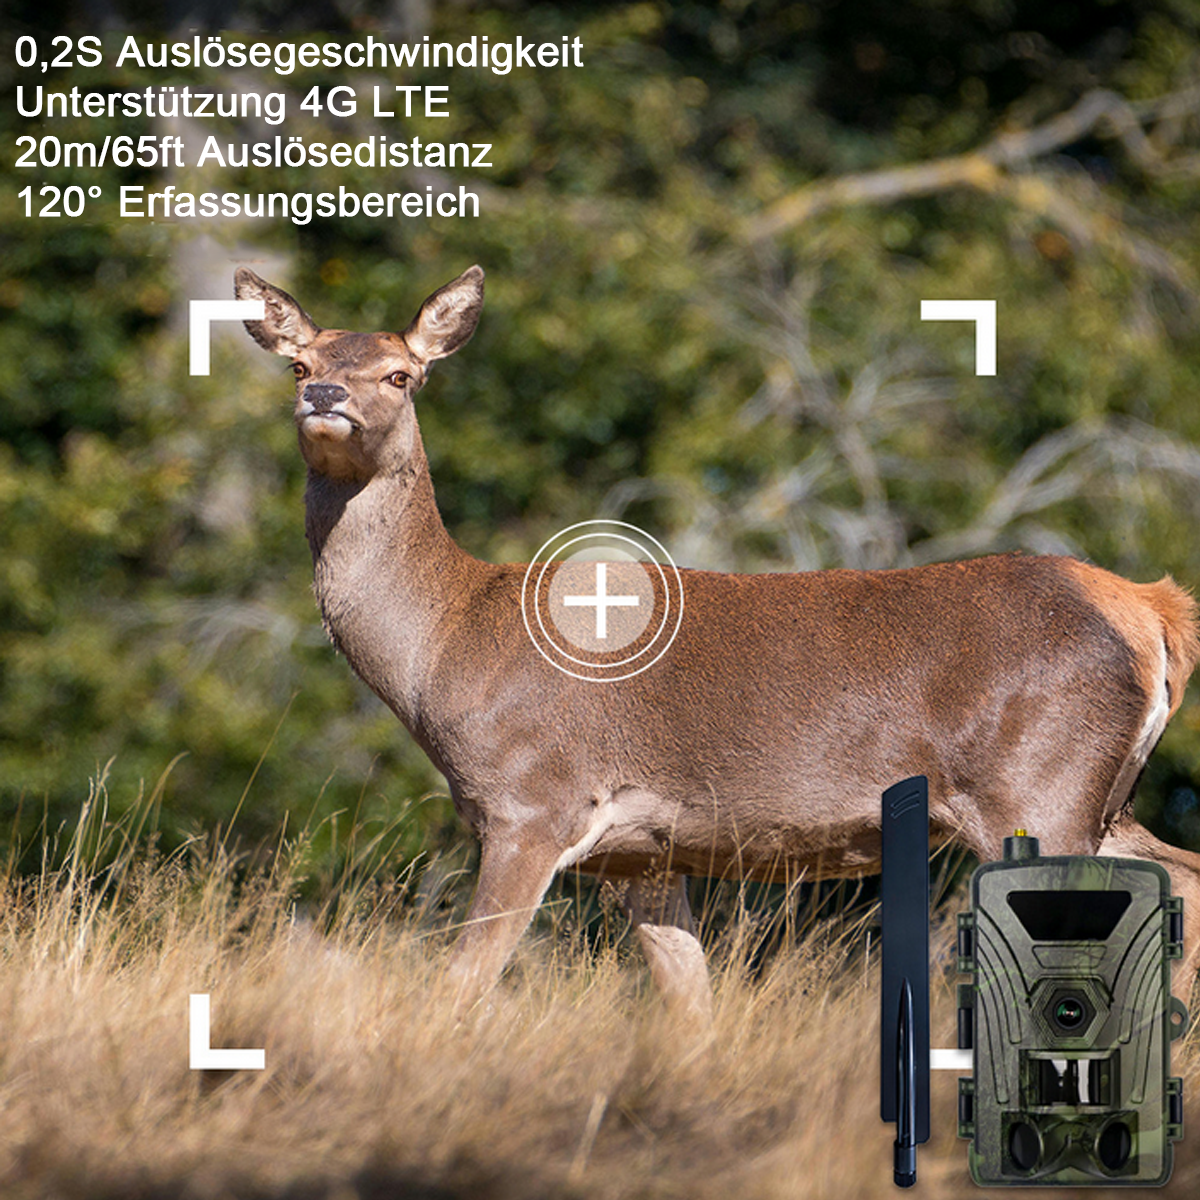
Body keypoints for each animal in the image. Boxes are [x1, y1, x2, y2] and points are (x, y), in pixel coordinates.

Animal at [235, 264, 1200, 1021]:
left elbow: (463, 982)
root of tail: (1151, 608)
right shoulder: (639, 852)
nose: (324, 397)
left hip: (1038, 785)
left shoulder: (531, 801)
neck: (446, 643)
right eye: (299, 362)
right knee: (1182, 877)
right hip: (1101, 798)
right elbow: (689, 1005)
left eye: (401, 374)